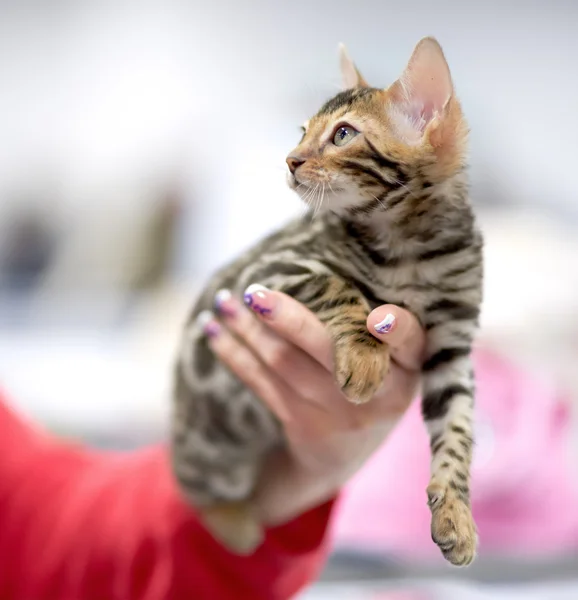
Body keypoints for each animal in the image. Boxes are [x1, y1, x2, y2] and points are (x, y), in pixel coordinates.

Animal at [170, 38, 482, 568]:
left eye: (343, 134)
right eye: (303, 131)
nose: (290, 160)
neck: (410, 247)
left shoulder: (452, 347)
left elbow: (457, 434)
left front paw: (456, 514)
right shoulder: (272, 268)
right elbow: (339, 286)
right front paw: (364, 356)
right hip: (210, 455)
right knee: (191, 489)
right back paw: (235, 526)